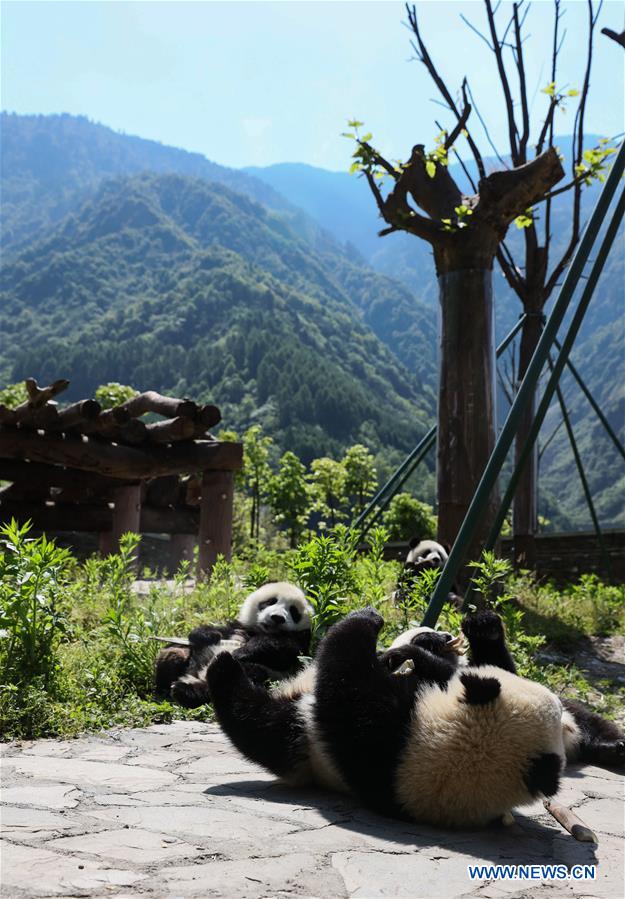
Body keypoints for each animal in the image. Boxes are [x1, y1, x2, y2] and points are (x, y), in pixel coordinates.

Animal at [156, 584, 312, 712]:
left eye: (293, 612)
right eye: (271, 601)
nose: (278, 617)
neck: (260, 630)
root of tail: (196, 677)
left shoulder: (299, 642)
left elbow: (285, 649)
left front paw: (242, 652)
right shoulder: (236, 627)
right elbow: (214, 632)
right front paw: (207, 635)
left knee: (247, 674)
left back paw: (185, 691)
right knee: (174, 653)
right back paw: (166, 689)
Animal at [205, 604, 564, 828]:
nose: (442, 636)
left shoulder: (393, 743)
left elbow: (347, 685)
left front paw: (367, 620)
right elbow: (449, 671)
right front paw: (470, 631)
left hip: (301, 739)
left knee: (259, 725)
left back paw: (224, 667)